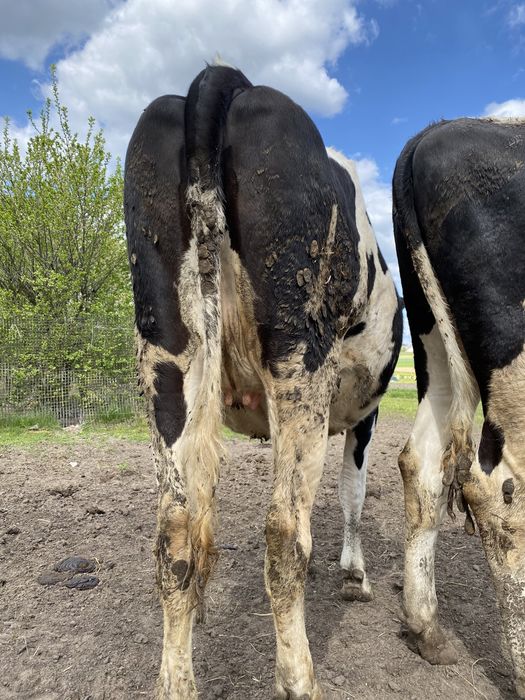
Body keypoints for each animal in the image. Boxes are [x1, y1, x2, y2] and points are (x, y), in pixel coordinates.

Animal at [124, 63, 402, 696]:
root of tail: (223, 83)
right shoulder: (366, 413)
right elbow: (353, 491)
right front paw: (354, 576)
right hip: (301, 354)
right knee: (283, 533)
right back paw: (299, 679)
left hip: (166, 355)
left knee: (176, 530)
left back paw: (176, 679)